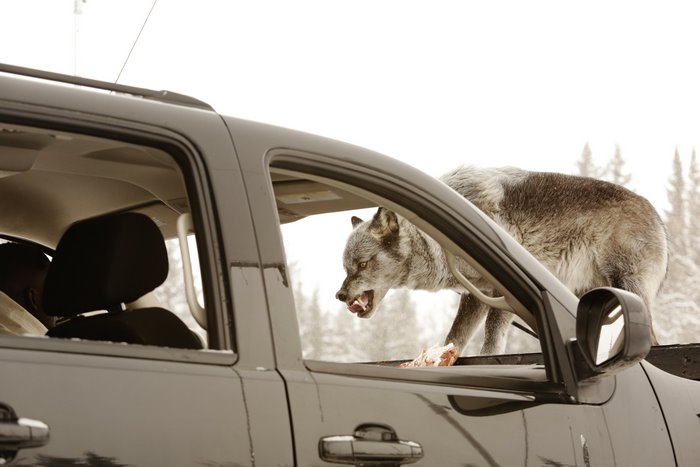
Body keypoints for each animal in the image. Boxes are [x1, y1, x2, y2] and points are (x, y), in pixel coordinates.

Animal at [335, 166, 668, 356]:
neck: (437, 246)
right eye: (347, 267)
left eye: (362, 265)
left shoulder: (495, 293)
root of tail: (656, 215)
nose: (340, 295)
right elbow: (455, 338)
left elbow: (491, 339)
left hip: (625, 287)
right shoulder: (475, 296)